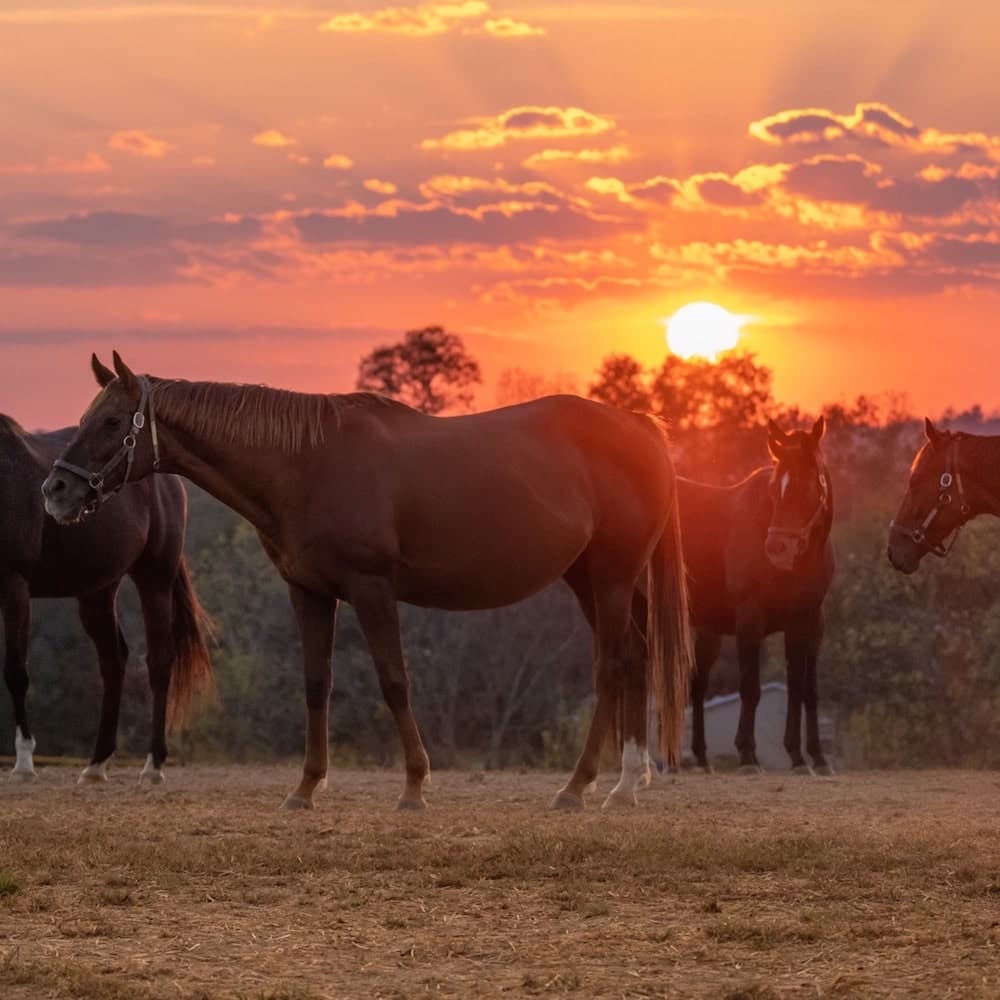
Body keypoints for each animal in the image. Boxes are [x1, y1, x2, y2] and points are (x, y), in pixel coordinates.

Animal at [1, 413, 213, 784]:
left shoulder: (15, 588)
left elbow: (15, 672)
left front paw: (24, 763)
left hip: (154, 580)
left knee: (159, 660)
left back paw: (153, 765)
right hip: (97, 592)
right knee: (114, 661)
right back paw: (96, 764)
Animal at [41, 352, 693, 811]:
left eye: (111, 421)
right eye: (86, 418)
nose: (56, 491)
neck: (305, 463)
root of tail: (641, 428)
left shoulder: (372, 589)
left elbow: (394, 681)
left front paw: (414, 786)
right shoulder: (309, 592)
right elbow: (316, 684)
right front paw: (305, 788)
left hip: (611, 578)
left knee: (612, 667)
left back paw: (578, 787)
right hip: (589, 580)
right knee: (635, 658)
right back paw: (627, 784)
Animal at [678, 417, 836, 774]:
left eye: (809, 486)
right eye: (775, 491)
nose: (778, 548)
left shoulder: (808, 621)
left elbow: (803, 689)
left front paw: (808, 757)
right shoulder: (750, 619)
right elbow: (751, 687)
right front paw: (748, 754)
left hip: (705, 629)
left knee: (696, 684)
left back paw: (701, 758)